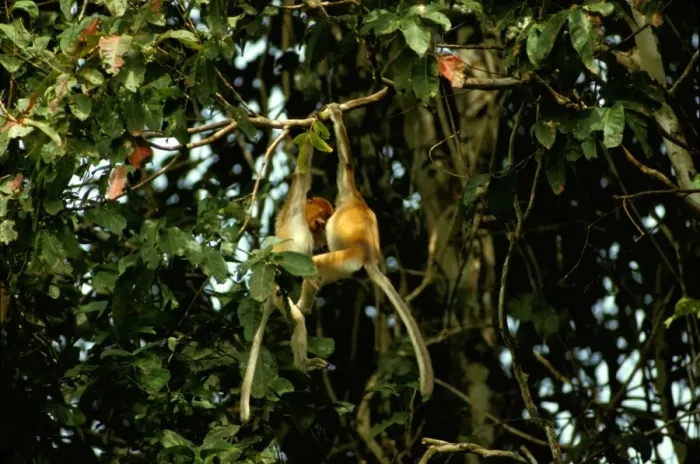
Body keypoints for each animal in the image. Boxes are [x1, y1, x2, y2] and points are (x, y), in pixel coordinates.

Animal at [239, 146, 334, 423]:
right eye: (322, 215)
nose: (322, 226)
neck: (303, 220)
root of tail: (270, 295)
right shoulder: (294, 207)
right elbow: (302, 174)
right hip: (278, 293)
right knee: (297, 318)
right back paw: (303, 363)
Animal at [295, 104, 434, 398]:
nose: (318, 229)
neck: (349, 203)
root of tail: (368, 256)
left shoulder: (347, 190)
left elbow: (346, 164)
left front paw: (334, 114)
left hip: (345, 259)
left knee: (316, 264)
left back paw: (302, 308)